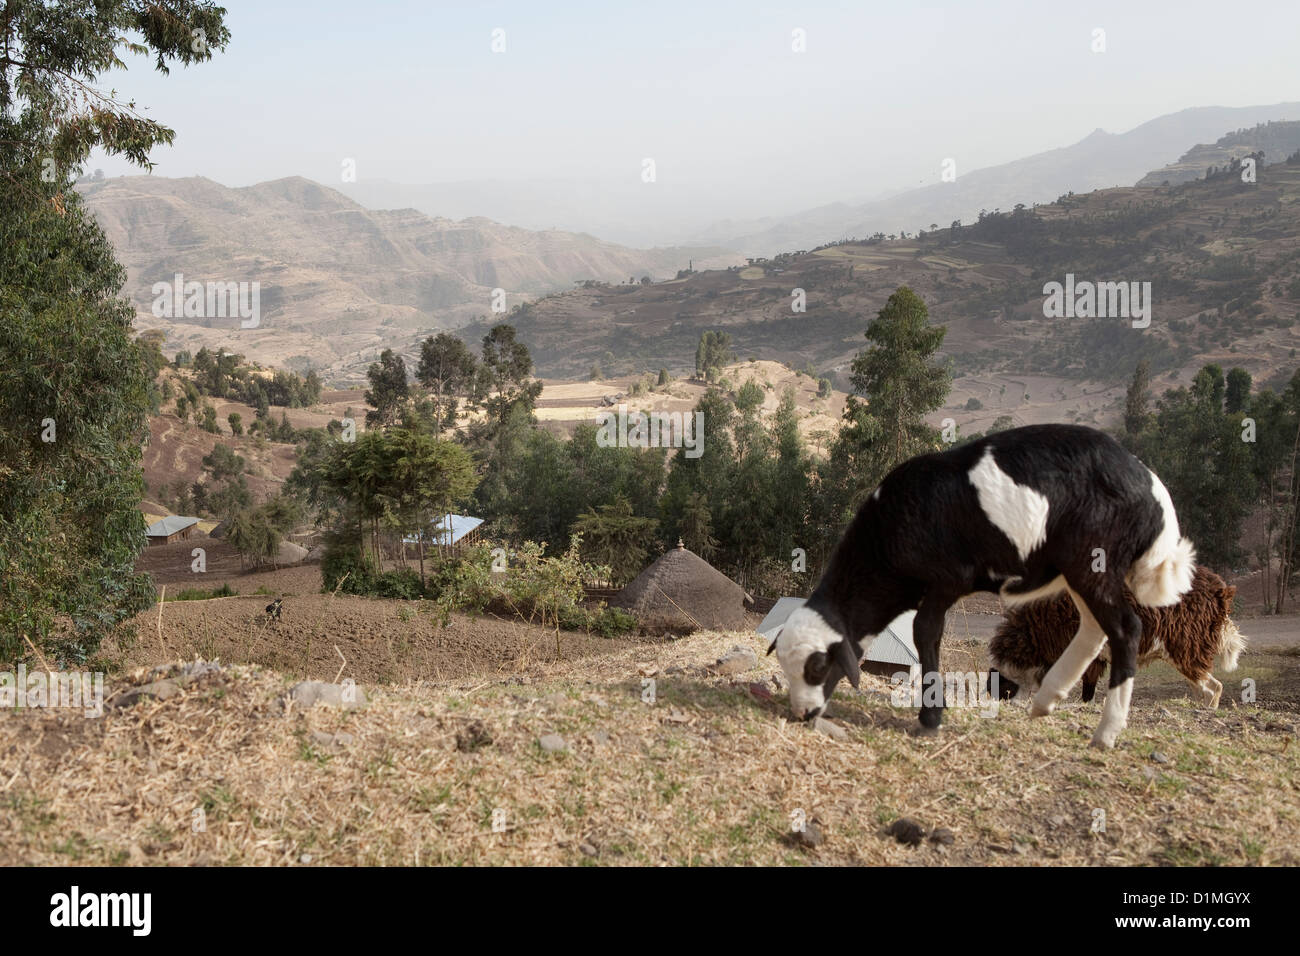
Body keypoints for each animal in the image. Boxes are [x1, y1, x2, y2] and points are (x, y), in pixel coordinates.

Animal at [769, 424, 1196, 749]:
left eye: (817, 667)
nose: (803, 714)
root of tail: (1154, 491)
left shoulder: (947, 579)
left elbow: (926, 632)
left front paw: (930, 719)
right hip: (1081, 568)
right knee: (1094, 628)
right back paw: (1047, 699)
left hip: (1095, 558)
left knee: (1125, 629)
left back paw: (1106, 733)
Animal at [982, 567, 1248, 712]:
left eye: (1002, 689)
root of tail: (1221, 591)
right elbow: (1088, 690)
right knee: (1205, 688)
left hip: (1186, 650)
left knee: (1214, 688)